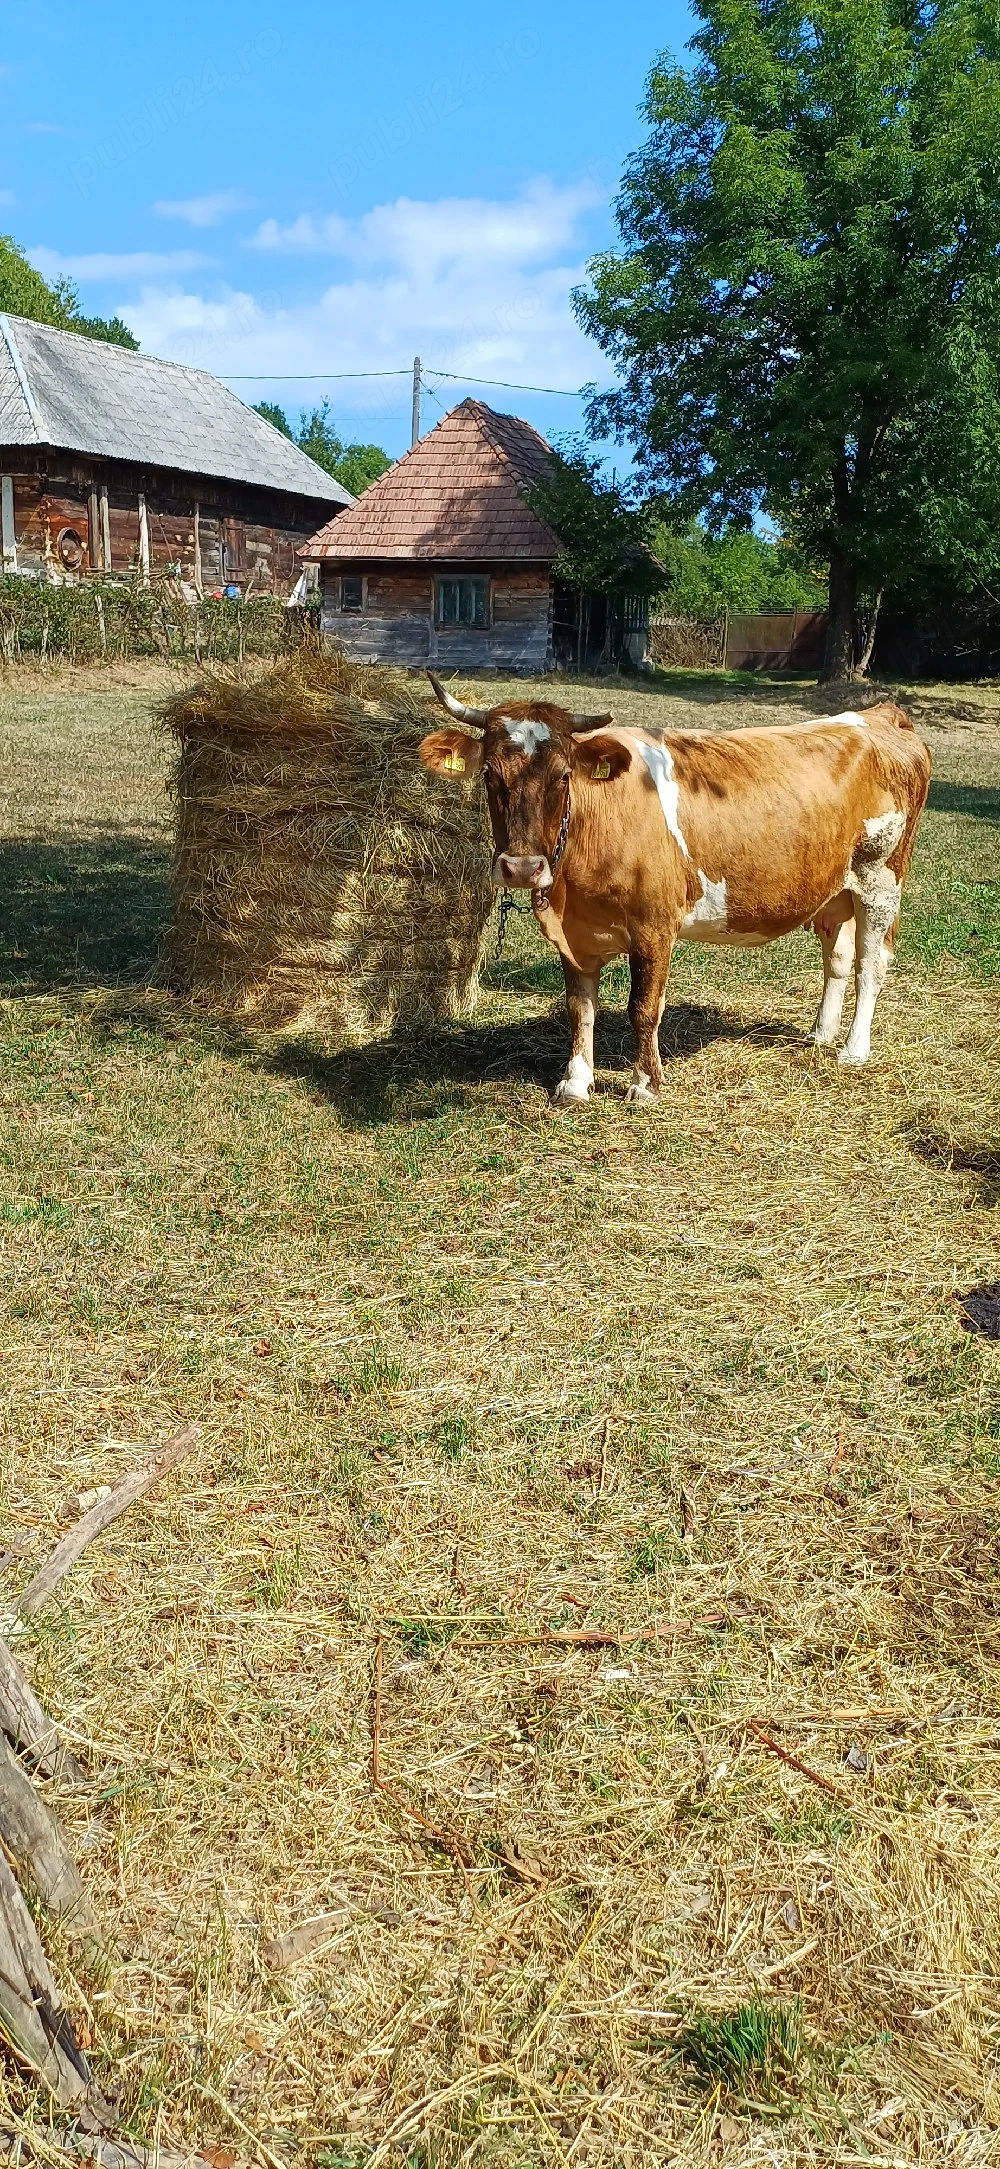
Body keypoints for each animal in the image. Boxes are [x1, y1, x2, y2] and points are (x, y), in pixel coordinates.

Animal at [419, 674, 931, 1103]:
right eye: (488, 774)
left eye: (564, 776)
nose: (522, 867)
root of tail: (880, 715)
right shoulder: (574, 935)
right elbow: (579, 1007)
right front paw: (576, 1082)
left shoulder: (654, 926)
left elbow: (644, 1007)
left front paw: (645, 1084)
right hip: (835, 889)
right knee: (838, 958)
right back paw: (820, 1034)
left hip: (882, 879)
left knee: (871, 965)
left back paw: (854, 1049)